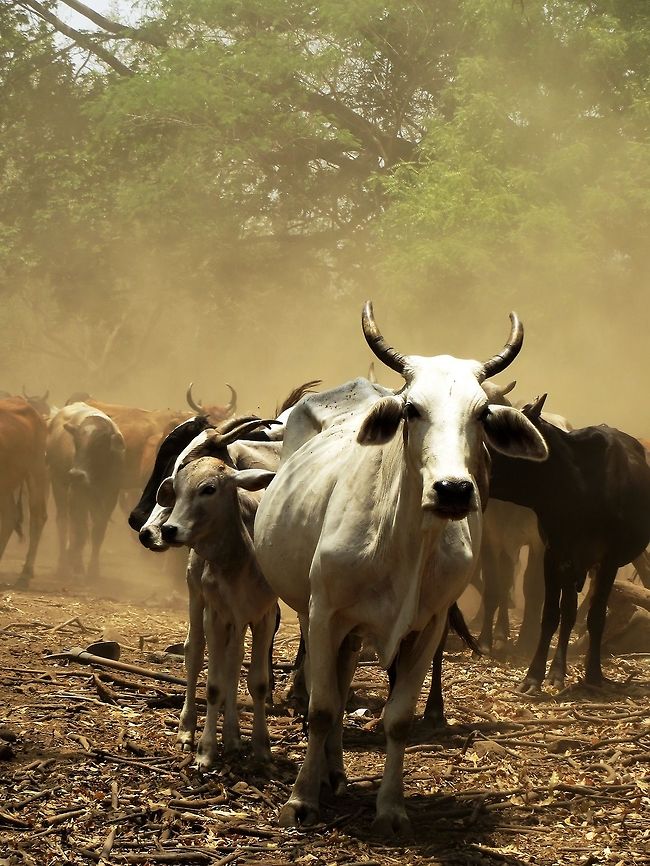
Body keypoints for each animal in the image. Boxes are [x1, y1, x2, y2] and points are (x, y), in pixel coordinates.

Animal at [47, 403, 125, 579]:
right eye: (76, 442)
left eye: (99, 444)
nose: (77, 474)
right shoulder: (77, 493)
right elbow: (80, 531)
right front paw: (76, 565)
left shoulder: (110, 495)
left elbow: (98, 530)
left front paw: (93, 570)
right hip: (59, 483)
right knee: (64, 522)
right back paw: (63, 565)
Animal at [253, 302, 547, 833]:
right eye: (411, 408)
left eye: (481, 413)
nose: (453, 490)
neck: (404, 545)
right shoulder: (325, 612)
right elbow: (323, 708)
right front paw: (301, 799)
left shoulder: (427, 627)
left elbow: (398, 719)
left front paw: (390, 807)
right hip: (312, 611)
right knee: (329, 689)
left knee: (345, 678)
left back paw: (336, 772)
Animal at [489, 395, 650, 693]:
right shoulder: (554, 554)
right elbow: (552, 614)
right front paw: (535, 676)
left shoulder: (607, 559)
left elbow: (595, 617)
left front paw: (593, 674)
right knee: (568, 612)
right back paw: (557, 672)